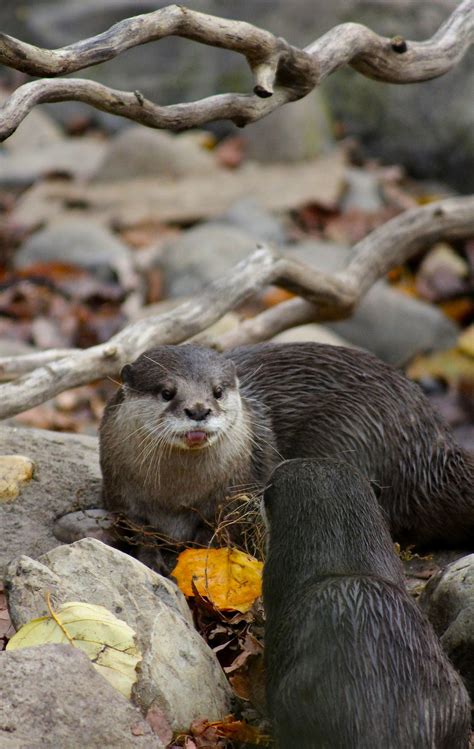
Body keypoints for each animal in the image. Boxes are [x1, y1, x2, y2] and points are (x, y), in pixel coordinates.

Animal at [99, 340, 474, 568]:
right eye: (167, 392)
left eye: (218, 391)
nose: (198, 410)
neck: (176, 496)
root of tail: (431, 452)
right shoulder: (123, 496)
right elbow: (137, 531)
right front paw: (150, 559)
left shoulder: (236, 493)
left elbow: (221, 535)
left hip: (354, 434)